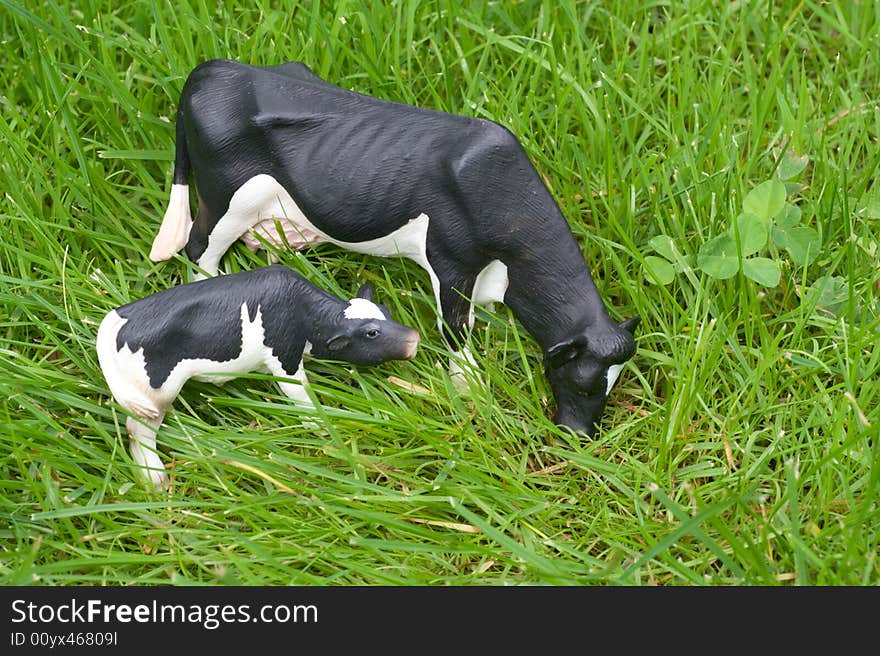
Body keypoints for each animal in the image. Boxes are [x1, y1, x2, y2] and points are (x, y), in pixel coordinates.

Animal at [98, 266, 422, 486]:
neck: (305, 313)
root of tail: (116, 318)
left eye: (385, 309)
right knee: (138, 429)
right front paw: (321, 428)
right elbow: (299, 394)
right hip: (155, 391)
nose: (414, 339)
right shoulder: (284, 358)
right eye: (372, 332)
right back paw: (154, 479)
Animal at [150, 60, 640, 436]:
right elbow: (456, 329)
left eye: (613, 385)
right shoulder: (450, 261)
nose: (577, 435)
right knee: (199, 248)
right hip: (225, 195)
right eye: (584, 384)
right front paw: (469, 388)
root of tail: (214, 69)